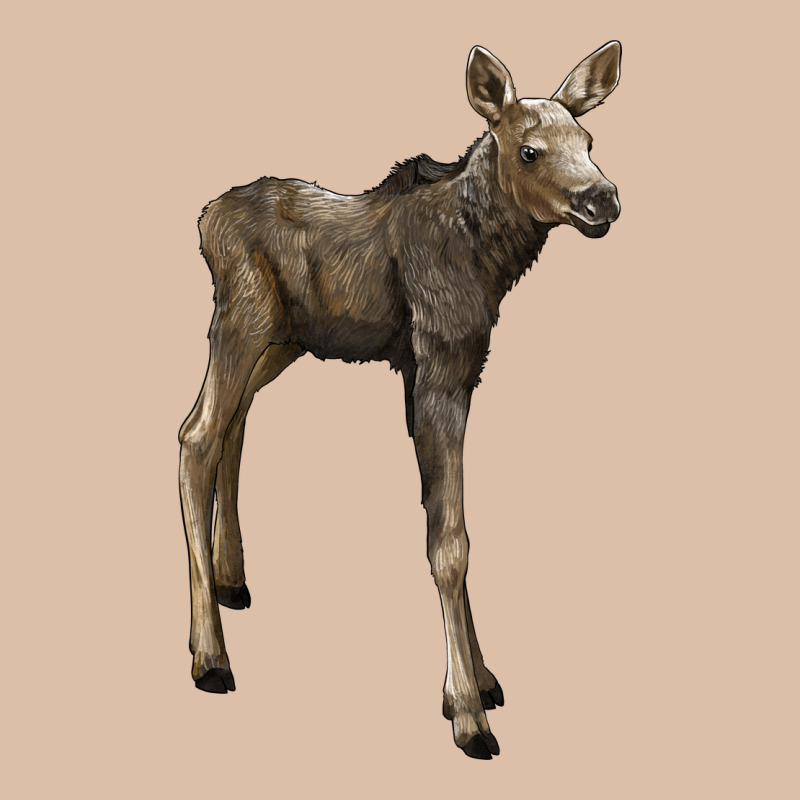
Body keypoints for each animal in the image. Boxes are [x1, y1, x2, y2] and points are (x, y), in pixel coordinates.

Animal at [178, 42, 622, 760]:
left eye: (587, 140)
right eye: (529, 150)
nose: (602, 197)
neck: (487, 260)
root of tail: (205, 217)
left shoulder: (454, 371)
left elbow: (450, 520)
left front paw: (480, 680)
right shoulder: (437, 366)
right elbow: (450, 540)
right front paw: (468, 712)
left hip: (282, 340)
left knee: (232, 424)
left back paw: (231, 580)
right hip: (242, 319)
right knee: (195, 435)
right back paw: (210, 657)